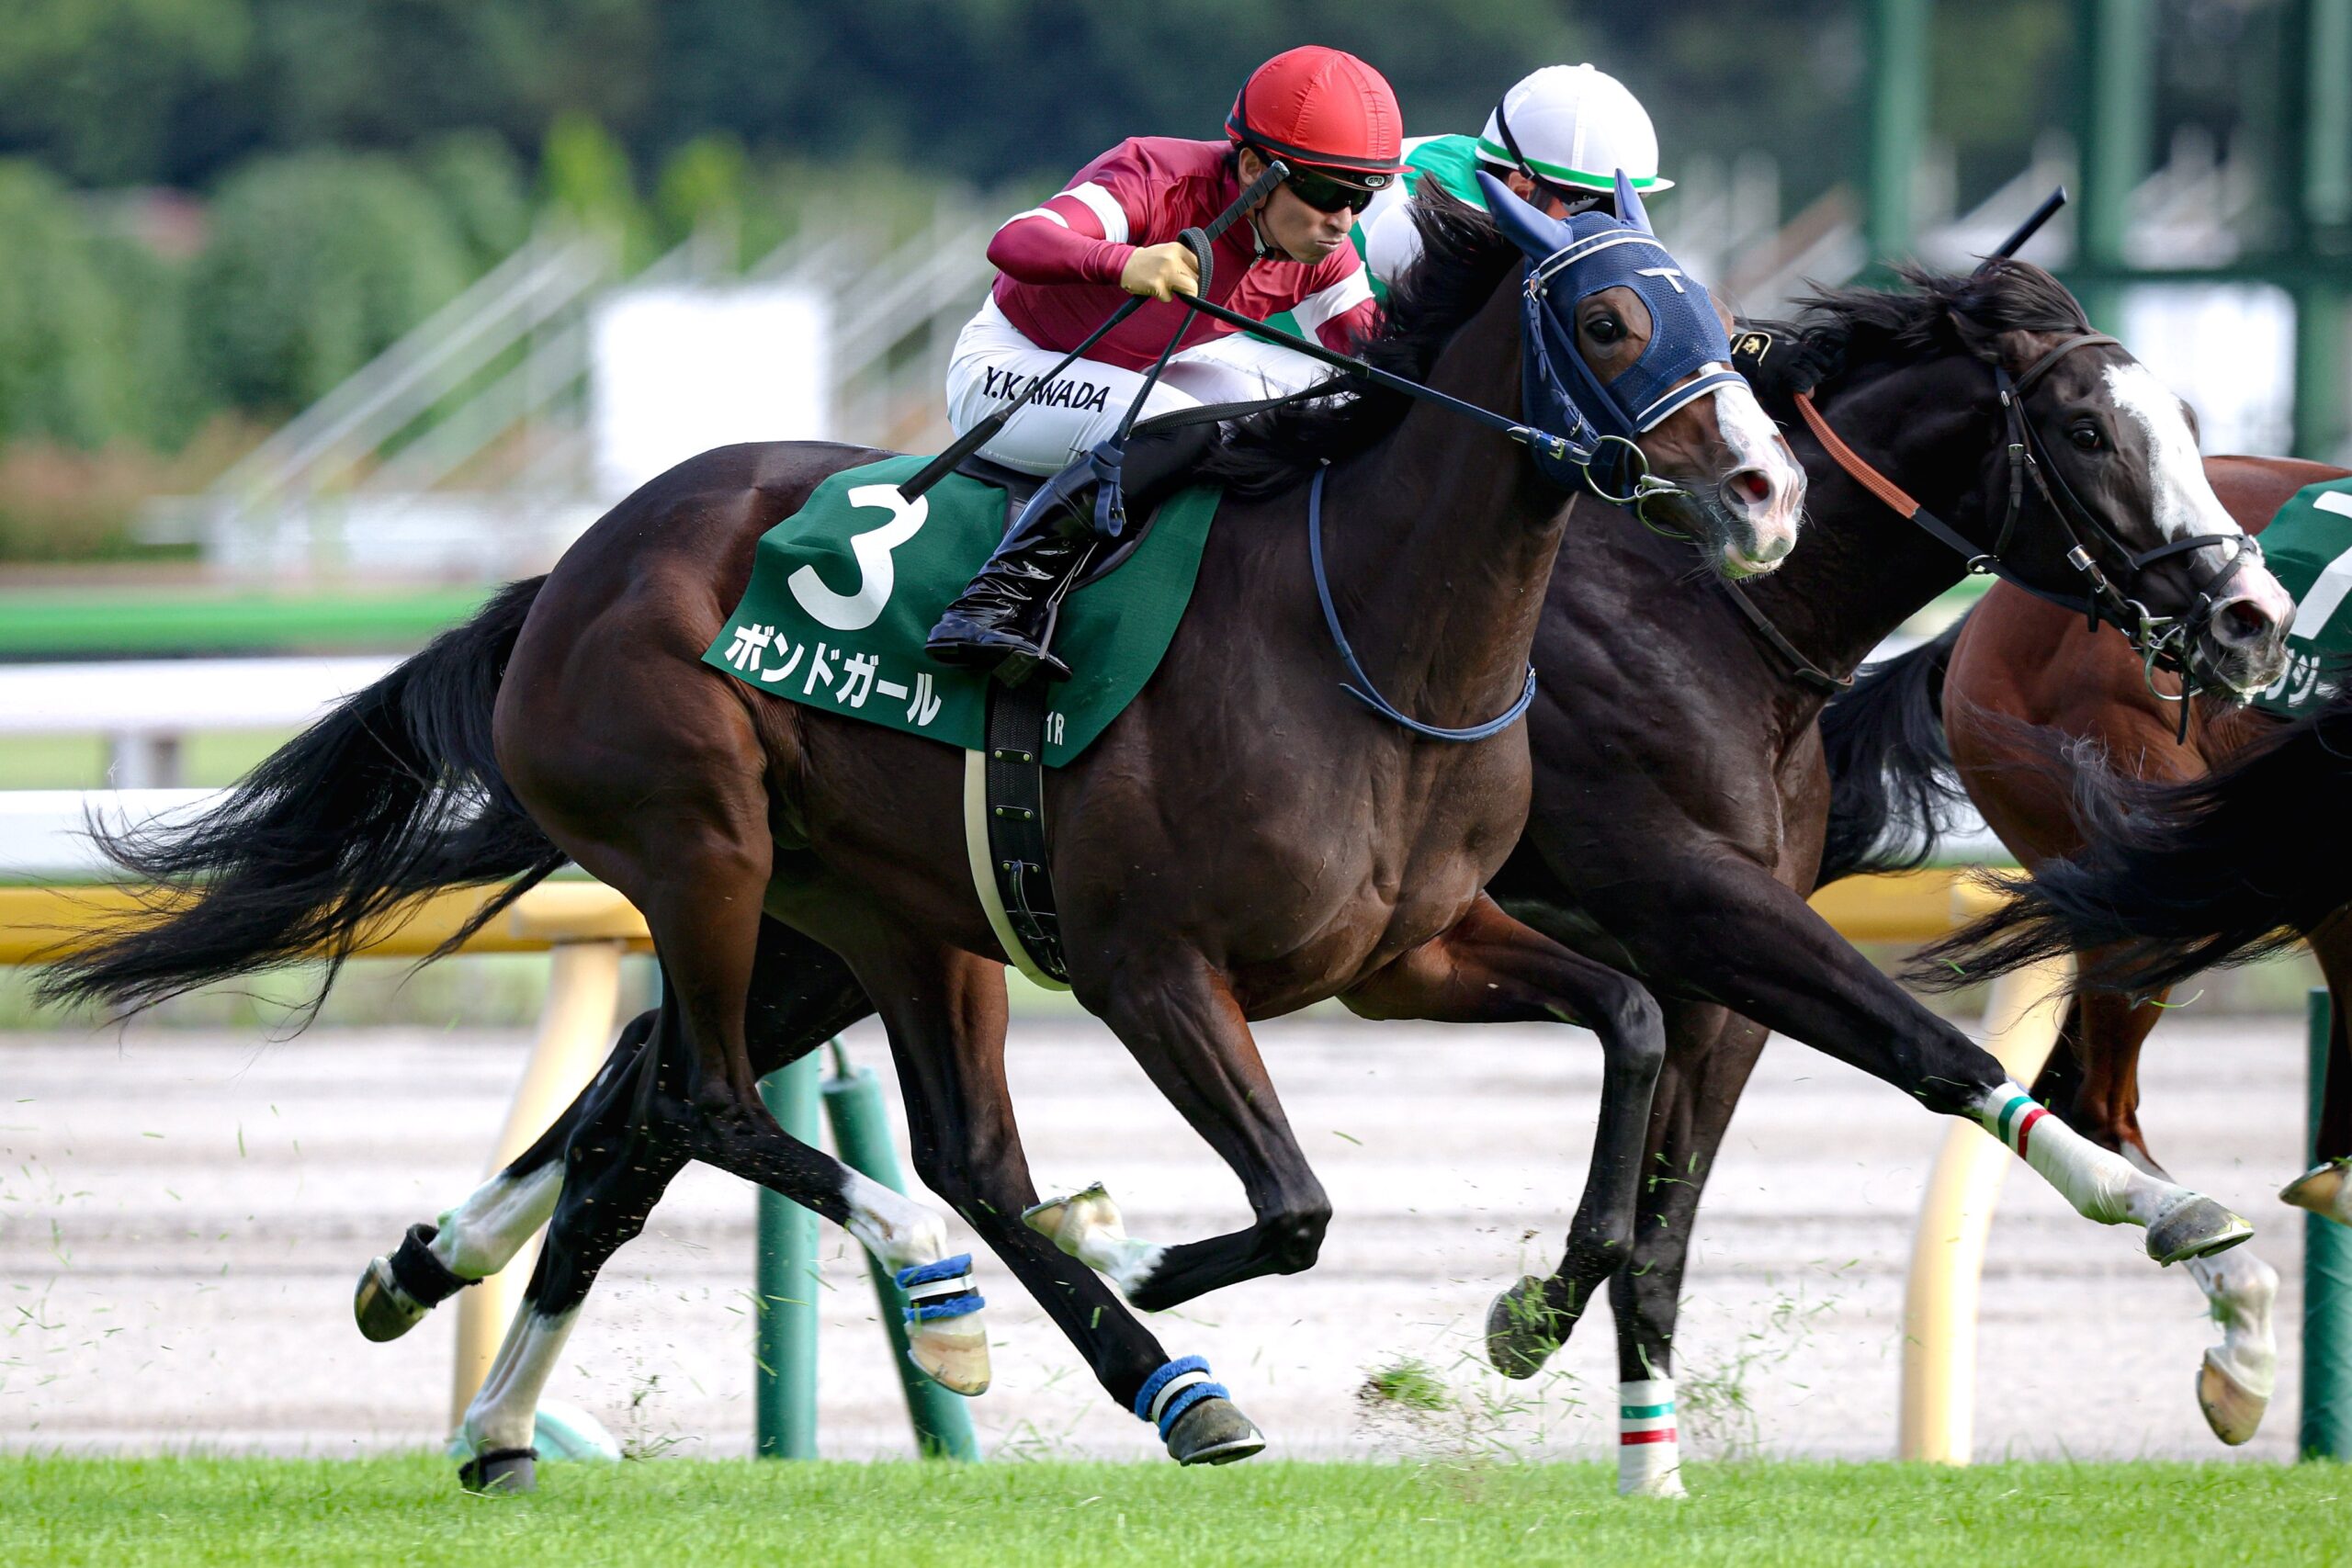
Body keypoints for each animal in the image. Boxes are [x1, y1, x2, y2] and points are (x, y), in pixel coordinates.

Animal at [40, 188, 1803, 1490]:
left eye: (1721, 313)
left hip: (880, 913)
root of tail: (571, 570)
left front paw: (1536, 1302)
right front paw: (1141, 1242)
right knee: (717, 1103)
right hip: (708, 850)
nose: (1768, 492)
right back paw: (946, 1286)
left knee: (752, 1134)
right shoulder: (1154, 965)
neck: (1358, 627)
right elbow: (1298, 1201)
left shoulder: (1409, 946)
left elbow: (1636, 1021)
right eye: (1610, 319)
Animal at [1472, 260, 2295, 1493]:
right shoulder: (1693, 900)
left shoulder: (1709, 975)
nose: (2256, 622)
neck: (1702, 619)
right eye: (2087, 430)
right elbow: (1937, 1051)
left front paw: (1650, 1472)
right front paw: (2174, 1215)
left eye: (2190, 430)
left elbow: (1661, 1237)